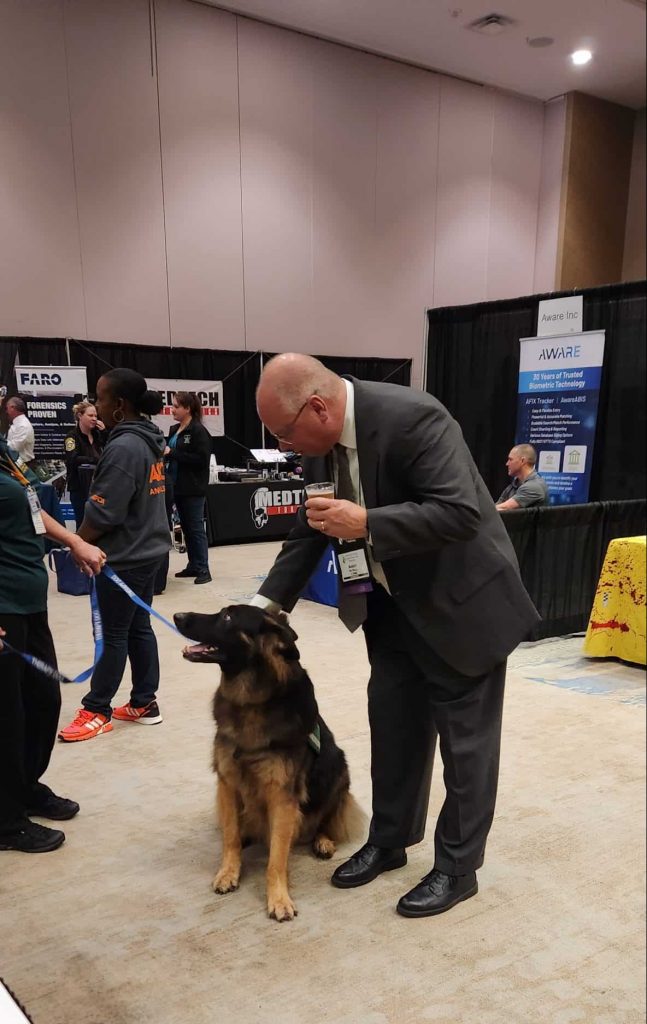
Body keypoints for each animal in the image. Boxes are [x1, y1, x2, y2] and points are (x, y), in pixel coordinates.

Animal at [174, 602, 362, 925]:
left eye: (227, 616)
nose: (177, 617)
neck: (250, 701)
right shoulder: (227, 780)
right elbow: (230, 837)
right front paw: (228, 871)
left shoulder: (282, 796)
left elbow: (276, 859)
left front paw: (279, 899)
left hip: (339, 771)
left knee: (328, 818)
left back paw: (323, 840)